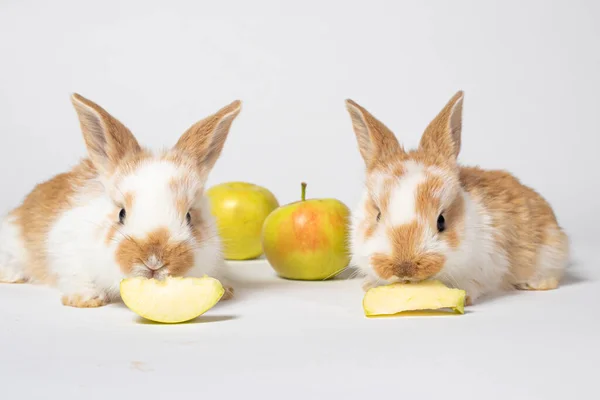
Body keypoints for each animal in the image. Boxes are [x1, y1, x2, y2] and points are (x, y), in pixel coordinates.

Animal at [0, 93, 240, 306]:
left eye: (189, 216)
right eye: (121, 214)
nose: (154, 261)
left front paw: (225, 289)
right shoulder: (65, 247)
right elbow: (76, 274)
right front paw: (86, 299)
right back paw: (11, 275)